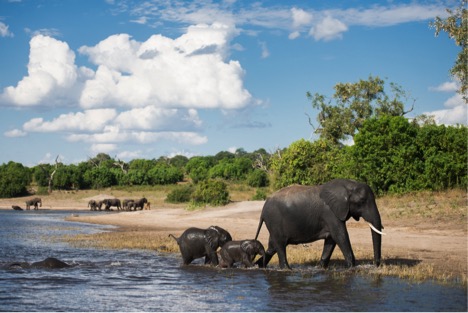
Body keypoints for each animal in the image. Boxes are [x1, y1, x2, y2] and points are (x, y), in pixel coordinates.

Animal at [254, 178, 386, 268]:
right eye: (362, 201)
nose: (375, 265)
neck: (349, 185)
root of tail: (263, 209)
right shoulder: (330, 213)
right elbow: (340, 236)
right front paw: (352, 267)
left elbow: (331, 239)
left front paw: (320, 267)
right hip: (274, 220)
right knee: (280, 245)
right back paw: (287, 269)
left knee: (272, 247)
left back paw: (258, 266)